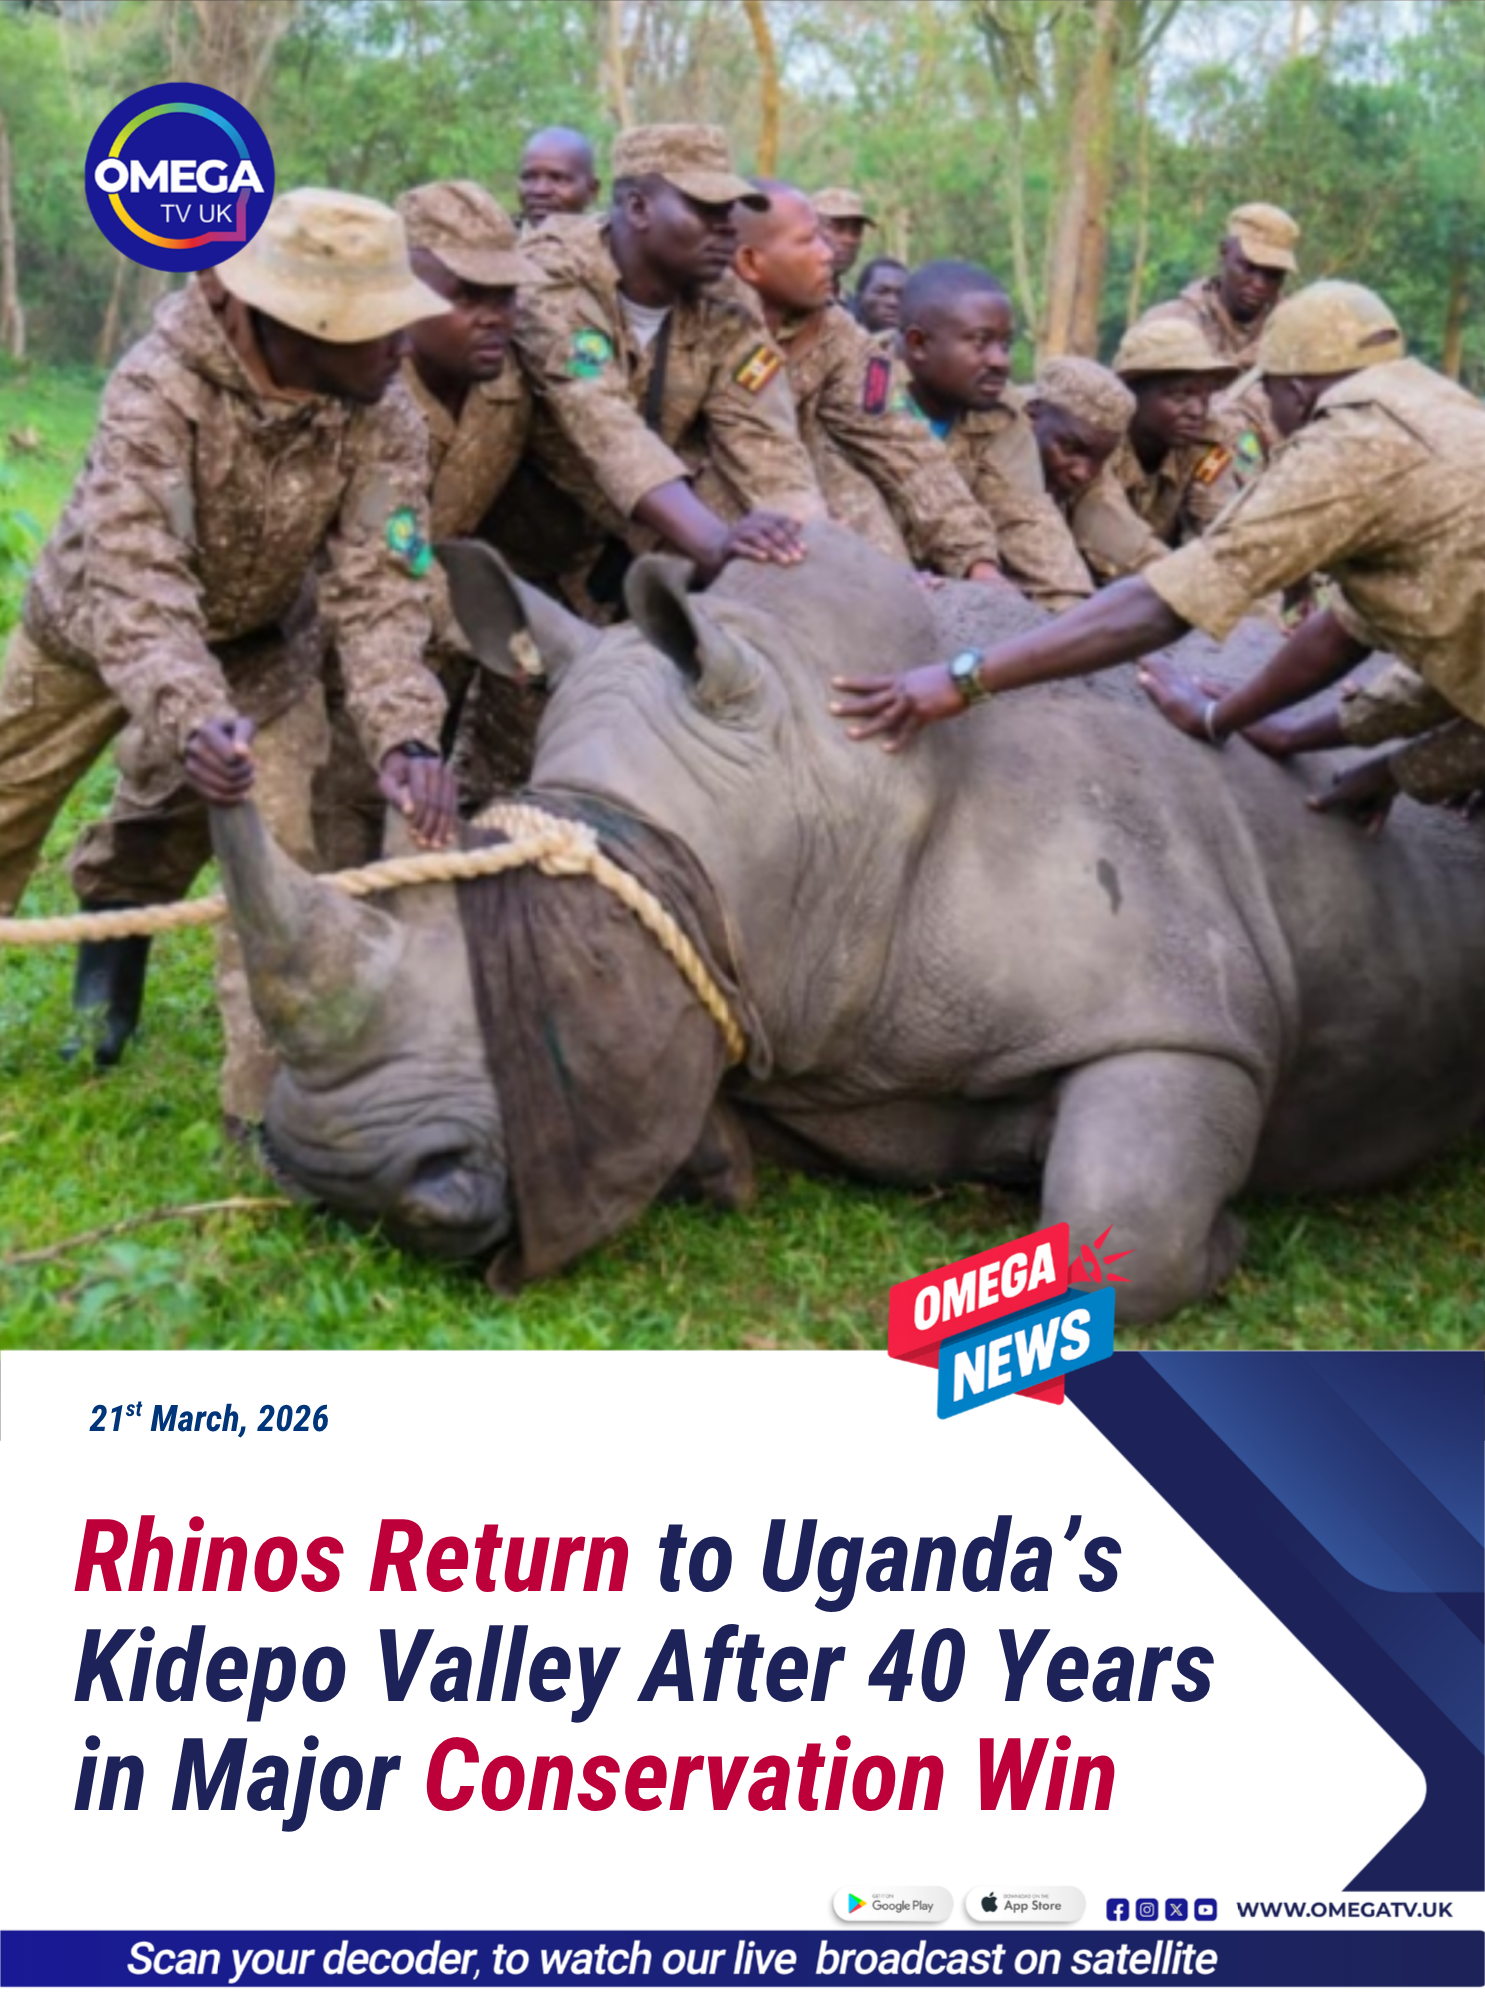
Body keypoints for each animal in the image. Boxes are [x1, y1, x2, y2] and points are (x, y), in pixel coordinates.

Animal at [210, 523, 1485, 1322]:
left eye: (586, 967)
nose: (340, 1176)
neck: (835, 795)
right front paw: (717, 1158)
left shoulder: (1188, 1015)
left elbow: (1116, 1222)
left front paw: (1229, 1246)